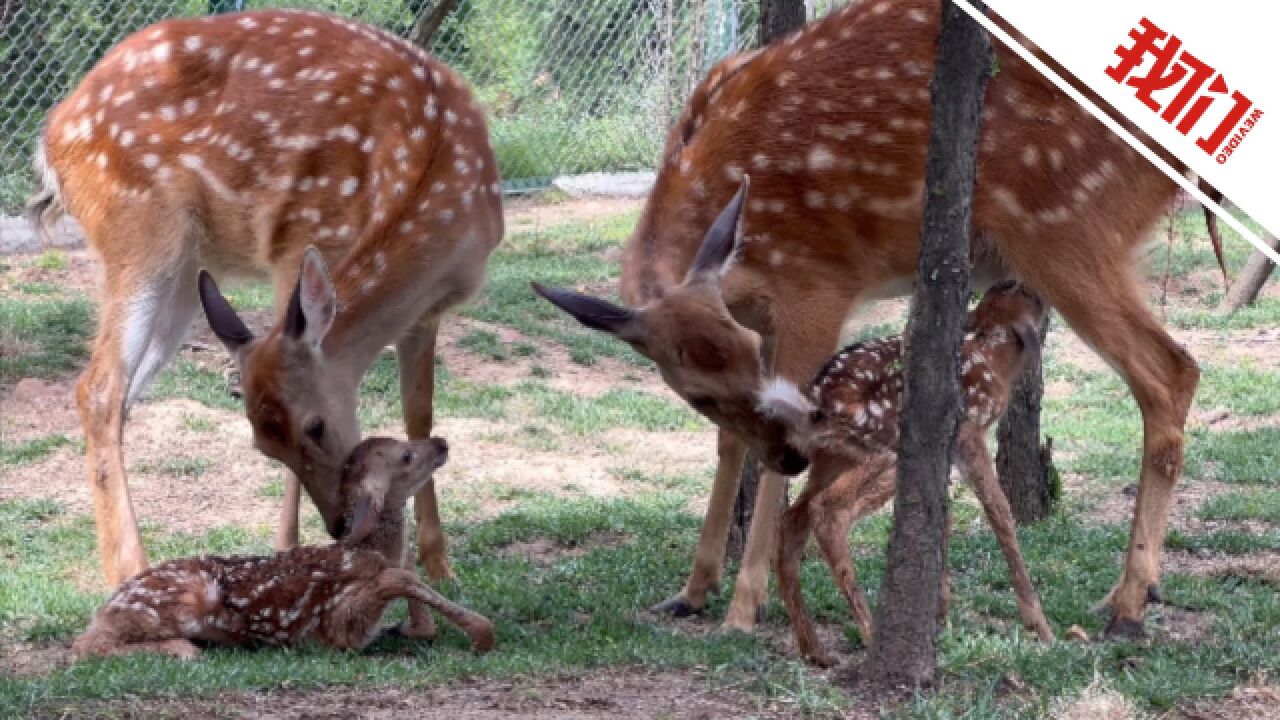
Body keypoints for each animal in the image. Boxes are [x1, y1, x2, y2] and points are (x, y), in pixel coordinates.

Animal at [30, 7, 499, 638]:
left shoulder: (426, 314)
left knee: (122, 392)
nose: (339, 525)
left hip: (186, 270)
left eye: (316, 428)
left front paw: (441, 564)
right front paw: (289, 555)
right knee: (99, 386)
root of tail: (54, 133)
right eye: (264, 444)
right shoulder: (298, 236)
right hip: (137, 228)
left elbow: (418, 414)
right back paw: (128, 567)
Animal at [73, 435, 494, 661]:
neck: (369, 549)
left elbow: (406, 579)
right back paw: (182, 648)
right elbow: (399, 577)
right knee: (84, 644)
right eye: (406, 455)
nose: (441, 442)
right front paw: (482, 634)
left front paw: (415, 628)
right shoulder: (336, 628)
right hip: (182, 601)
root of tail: (110, 601)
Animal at [762, 278, 1054, 666]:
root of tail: (813, 405)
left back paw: (815, 650)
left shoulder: (948, 449)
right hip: (885, 447)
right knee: (828, 509)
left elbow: (944, 514)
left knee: (793, 519)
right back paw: (869, 632)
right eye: (1029, 294)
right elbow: (999, 511)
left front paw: (941, 616)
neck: (993, 353)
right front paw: (1042, 627)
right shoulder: (969, 432)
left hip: (832, 458)